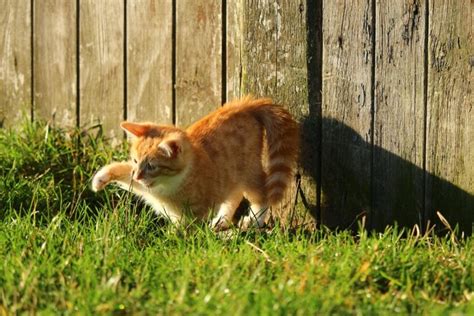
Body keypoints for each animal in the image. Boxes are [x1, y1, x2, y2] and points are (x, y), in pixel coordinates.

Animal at [92, 96, 298, 230]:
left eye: (152, 166)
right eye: (135, 160)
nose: (137, 175)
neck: (168, 185)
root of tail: (245, 105)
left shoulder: (197, 208)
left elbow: (190, 226)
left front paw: (179, 237)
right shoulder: (144, 186)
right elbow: (122, 170)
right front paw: (100, 179)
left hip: (248, 171)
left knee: (261, 194)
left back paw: (254, 221)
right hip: (231, 177)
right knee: (234, 195)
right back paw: (222, 220)